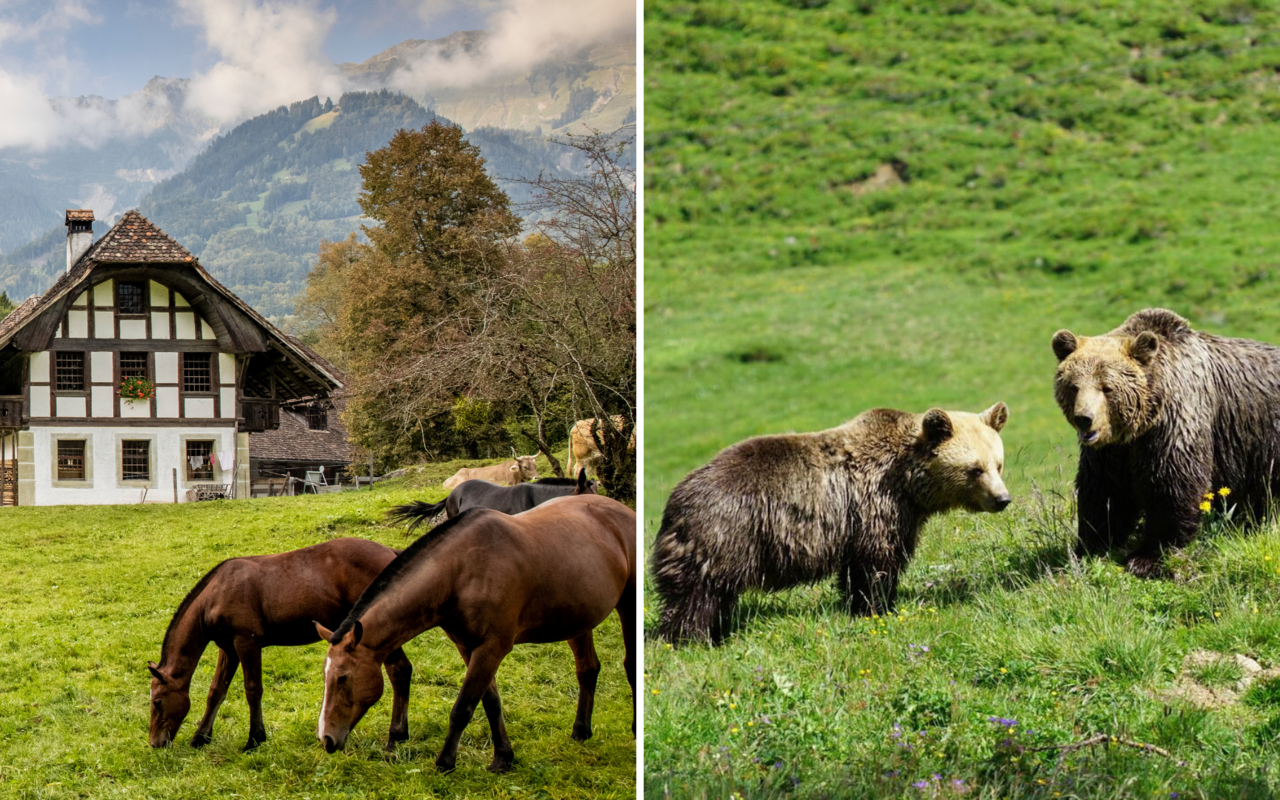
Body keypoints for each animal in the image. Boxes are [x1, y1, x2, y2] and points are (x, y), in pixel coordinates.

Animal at [148, 537, 414, 747]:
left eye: (157, 701)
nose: (155, 743)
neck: (216, 594)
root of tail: (391, 552)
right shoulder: (228, 649)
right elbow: (216, 692)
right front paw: (200, 737)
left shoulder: (247, 643)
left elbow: (253, 689)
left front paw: (255, 739)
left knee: (400, 671)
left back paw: (396, 736)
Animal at [314, 496, 634, 773]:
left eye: (343, 678)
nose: (326, 738)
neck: (460, 572)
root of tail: (619, 509)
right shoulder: (468, 646)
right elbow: (491, 702)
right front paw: (503, 758)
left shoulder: (493, 647)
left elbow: (463, 707)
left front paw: (445, 762)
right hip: (577, 621)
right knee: (587, 670)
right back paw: (580, 731)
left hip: (626, 607)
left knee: (630, 667)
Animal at [660, 404, 1008, 642]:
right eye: (974, 469)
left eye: (999, 464)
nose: (1002, 499)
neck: (910, 485)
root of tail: (675, 500)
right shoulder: (877, 507)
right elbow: (878, 565)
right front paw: (879, 608)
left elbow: (857, 571)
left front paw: (858, 606)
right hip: (726, 534)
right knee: (701, 594)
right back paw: (695, 637)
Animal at [1054, 305, 1280, 573]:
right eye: (1074, 386)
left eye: (1107, 387)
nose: (1084, 419)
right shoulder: (1111, 452)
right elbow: (1103, 491)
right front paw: (1089, 547)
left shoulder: (1177, 422)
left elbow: (1171, 484)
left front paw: (1147, 557)